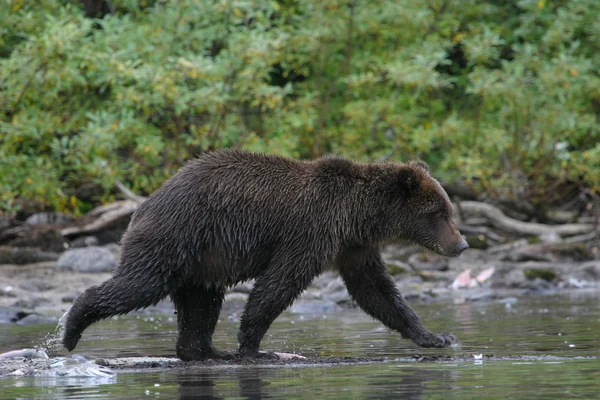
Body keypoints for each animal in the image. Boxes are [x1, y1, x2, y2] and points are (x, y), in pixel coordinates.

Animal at [64, 149, 468, 360]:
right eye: (439, 213)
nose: (462, 244)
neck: (358, 216)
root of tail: (143, 204)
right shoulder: (311, 231)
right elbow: (280, 283)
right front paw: (254, 348)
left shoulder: (354, 247)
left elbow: (376, 291)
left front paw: (436, 336)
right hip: (175, 238)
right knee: (140, 284)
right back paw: (71, 329)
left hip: (200, 262)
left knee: (201, 304)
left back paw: (205, 350)